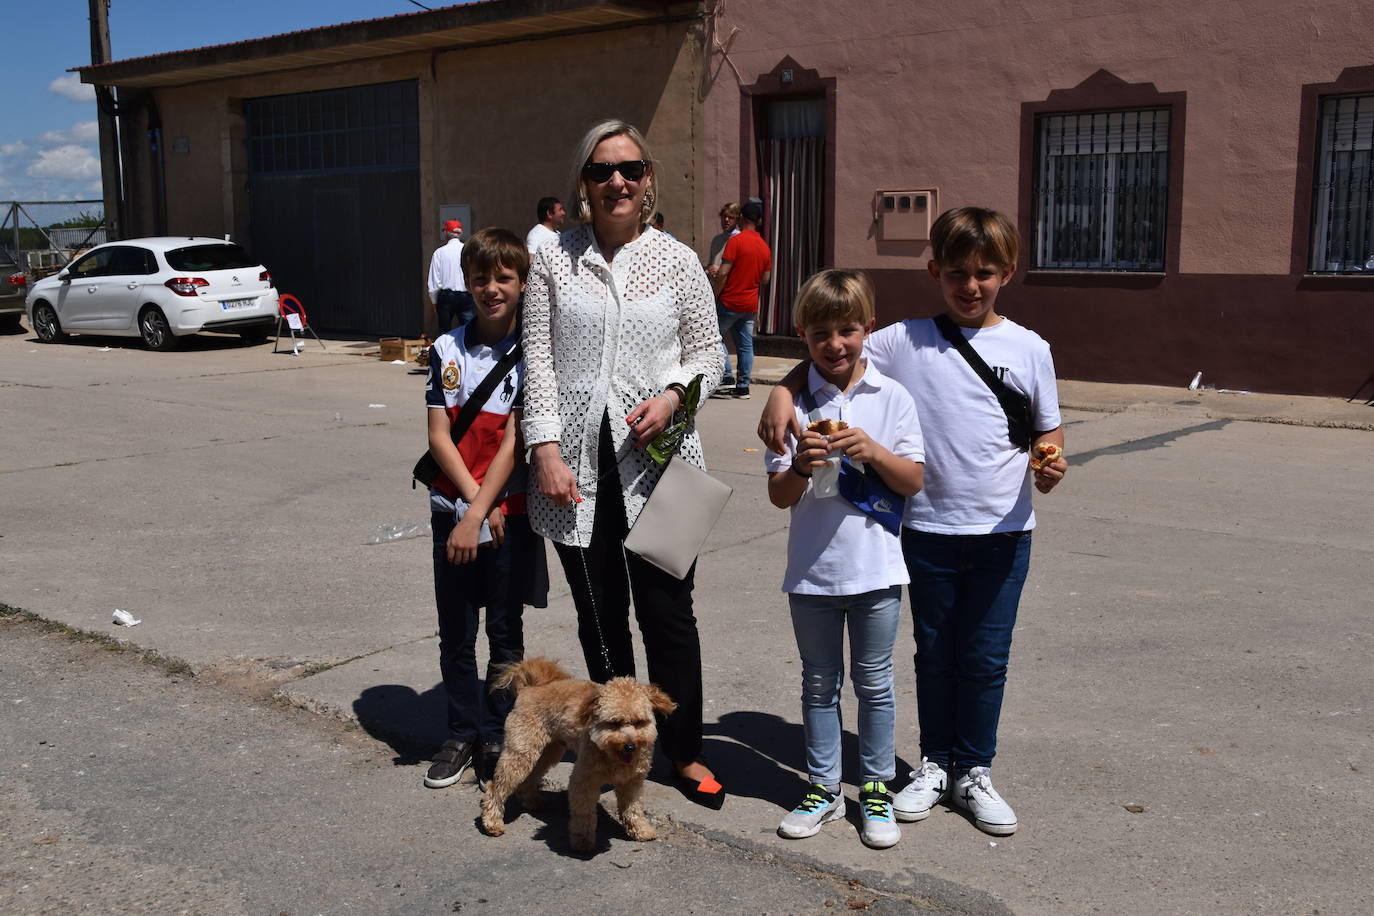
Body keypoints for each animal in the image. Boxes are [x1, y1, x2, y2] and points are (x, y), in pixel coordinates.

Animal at [480, 659, 678, 851]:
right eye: (614, 723)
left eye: (639, 722)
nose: (630, 746)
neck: (613, 755)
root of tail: (529, 689)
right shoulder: (583, 781)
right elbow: (584, 814)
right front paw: (582, 841)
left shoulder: (632, 782)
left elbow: (633, 808)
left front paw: (641, 830)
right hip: (522, 750)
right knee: (496, 788)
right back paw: (492, 822)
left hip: (548, 751)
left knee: (529, 778)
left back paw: (531, 802)